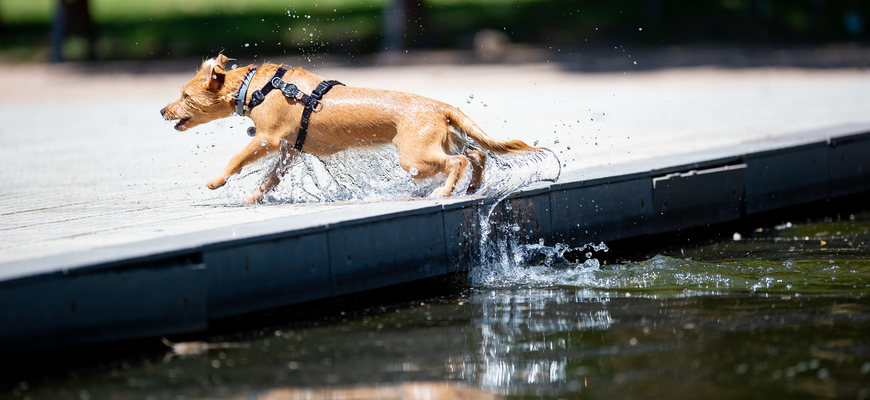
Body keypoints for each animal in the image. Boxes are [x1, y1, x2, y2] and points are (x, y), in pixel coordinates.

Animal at [161, 54, 548, 203]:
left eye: (185, 95)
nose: (163, 109)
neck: (255, 86)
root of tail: (441, 106)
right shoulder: (289, 150)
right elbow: (271, 177)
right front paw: (254, 197)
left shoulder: (268, 139)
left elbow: (238, 158)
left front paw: (216, 181)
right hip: (446, 140)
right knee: (477, 155)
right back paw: (471, 188)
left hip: (414, 157)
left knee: (459, 162)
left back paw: (444, 191)